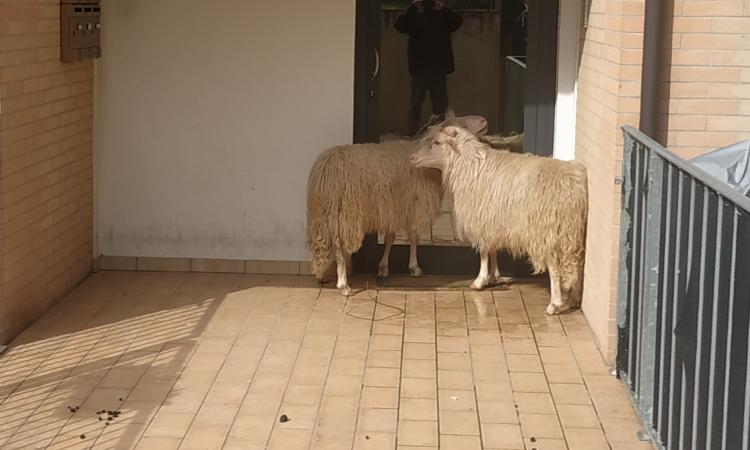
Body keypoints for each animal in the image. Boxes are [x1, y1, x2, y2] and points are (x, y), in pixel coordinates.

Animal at [307, 112, 489, 296]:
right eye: (462, 127)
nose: (484, 119)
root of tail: (326, 168)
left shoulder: (393, 208)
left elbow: (390, 238)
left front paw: (383, 267)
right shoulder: (414, 204)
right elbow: (414, 236)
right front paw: (414, 267)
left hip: (322, 214)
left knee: (322, 242)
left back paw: (321, 274)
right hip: (346, 213)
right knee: (339, 245)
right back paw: (343, 284)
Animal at [409, 125, 588, 315]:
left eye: (437, 142)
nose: (411, 158)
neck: (469, 165)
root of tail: (573, 184)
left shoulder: (481, 218)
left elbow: (483, 252)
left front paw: (480, 281)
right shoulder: (492, 222)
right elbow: (493, 250)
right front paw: (494, 276)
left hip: (548, 232)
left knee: (555, 267)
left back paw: (554, 304)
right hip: (576, 233)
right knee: (579, 263)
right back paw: (575, 299)